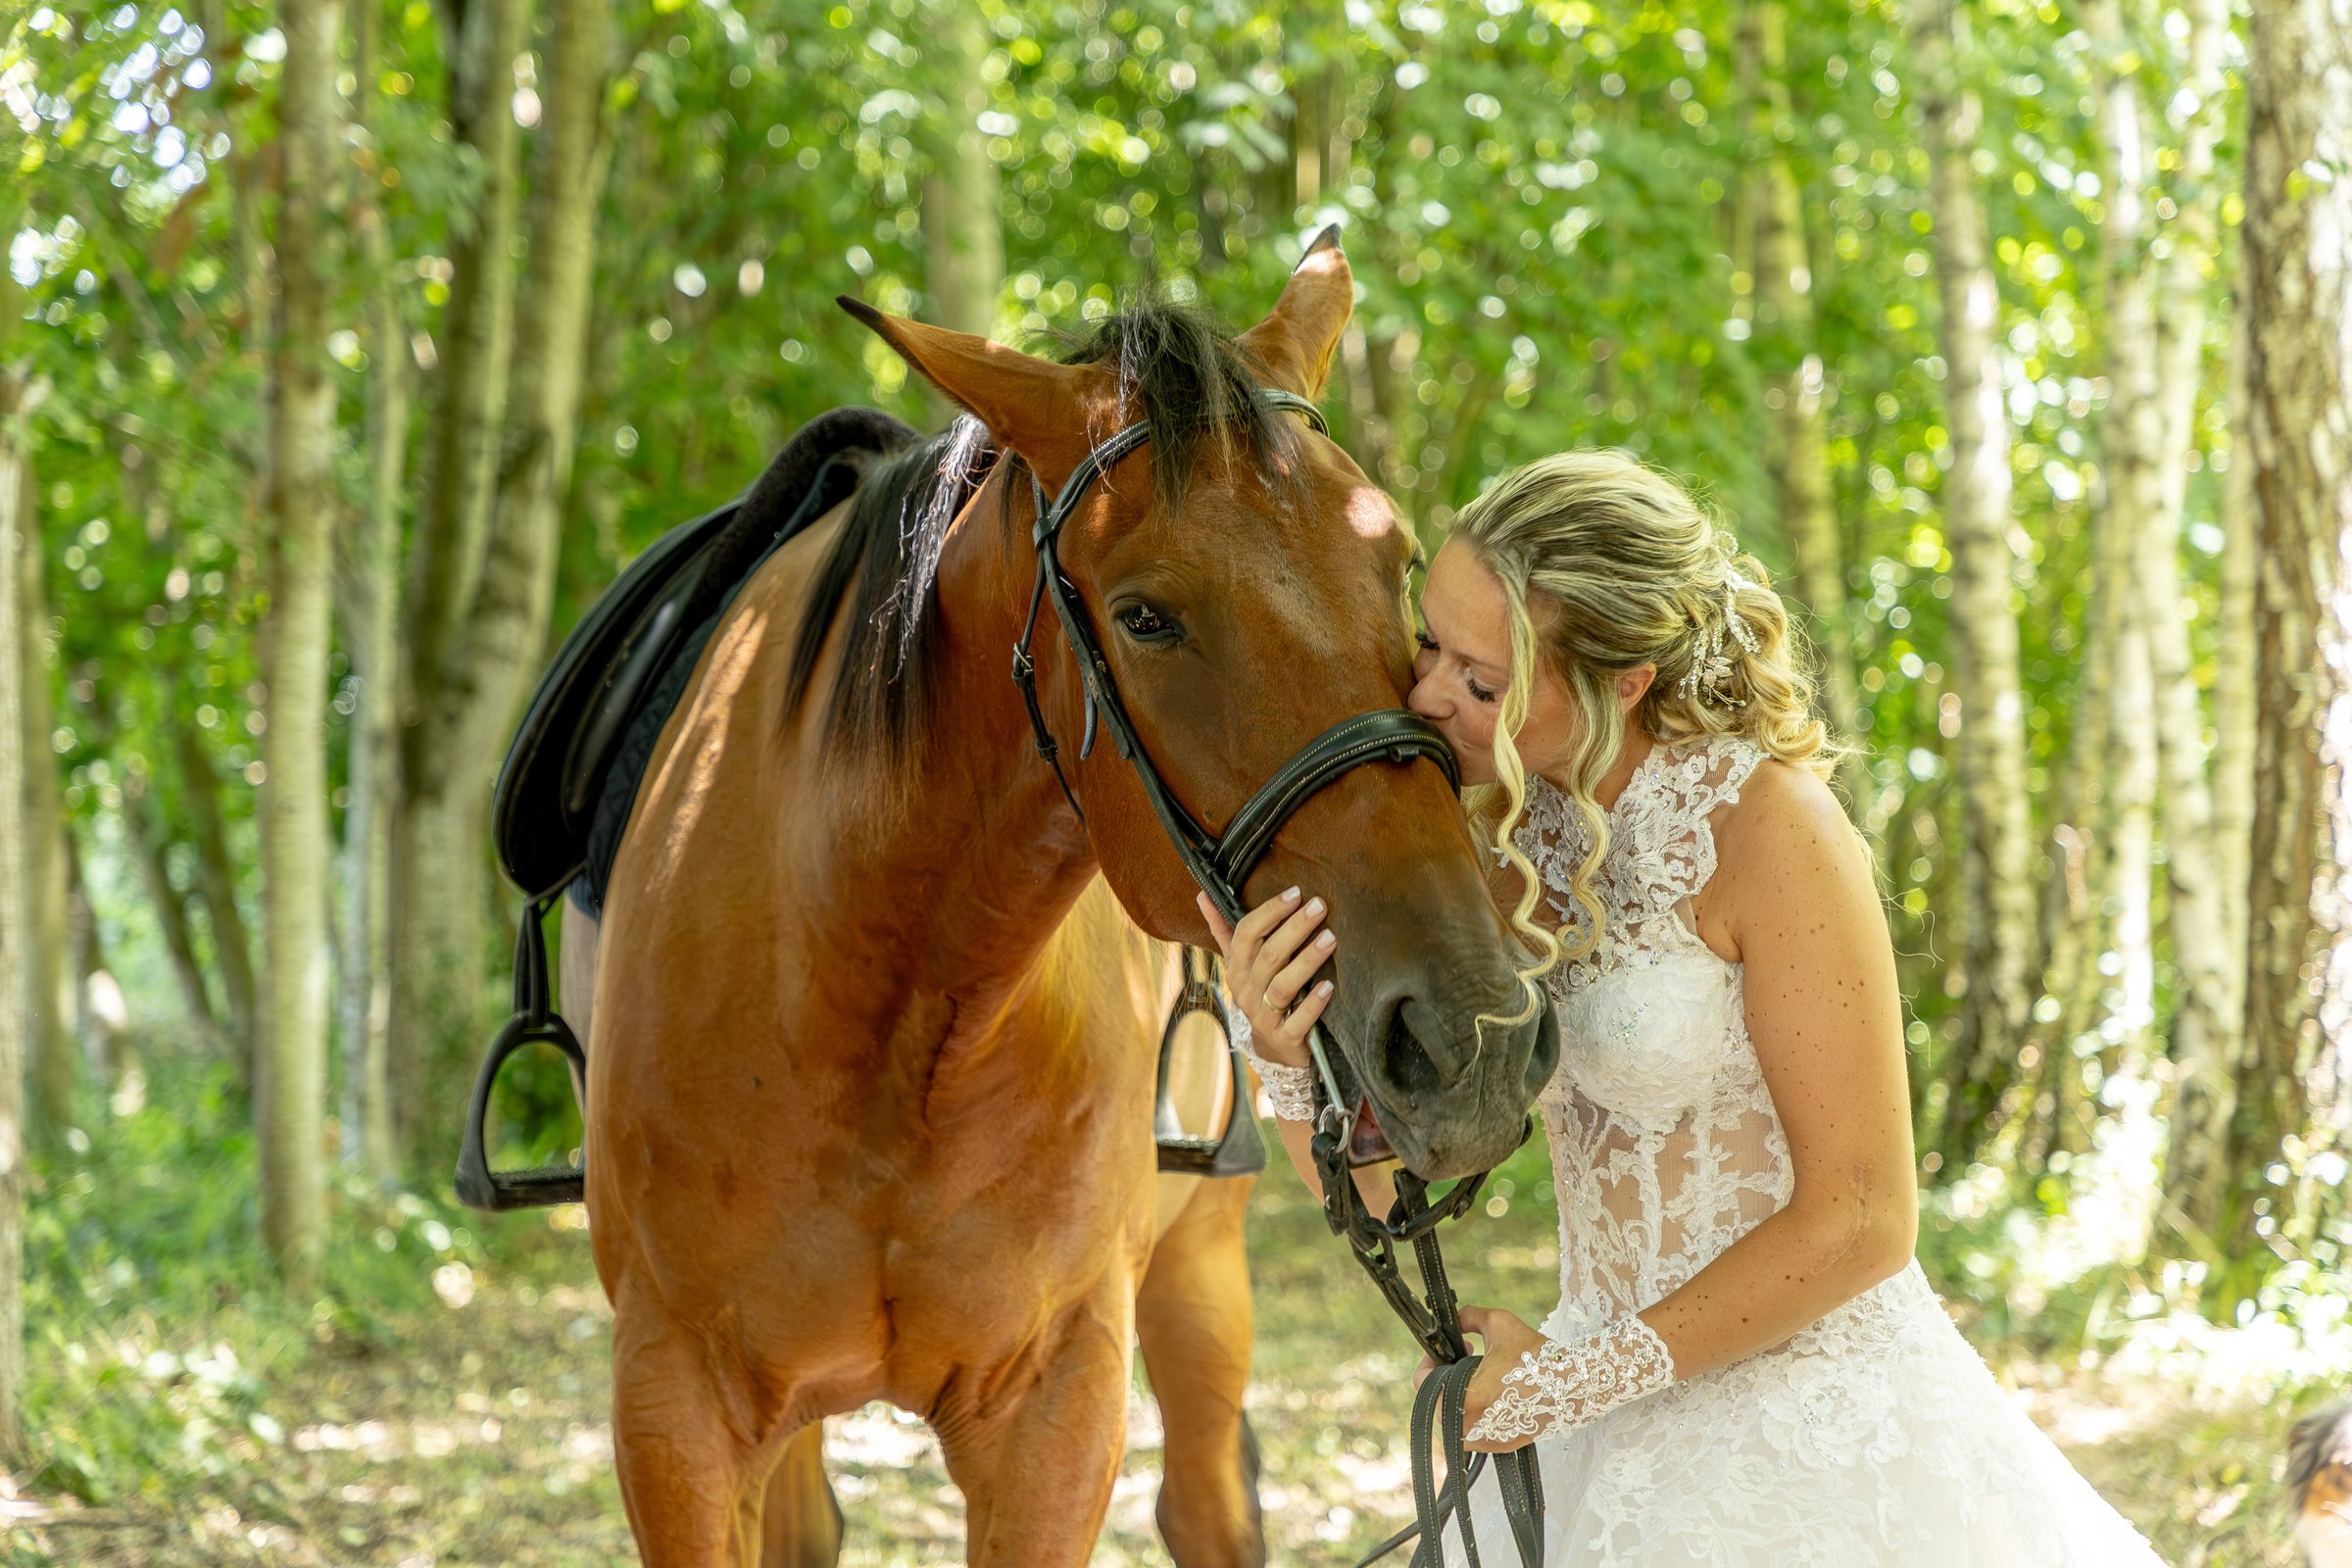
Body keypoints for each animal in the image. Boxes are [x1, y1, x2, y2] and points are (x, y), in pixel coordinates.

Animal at [562, 233, 1558, 1566]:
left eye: (1395, 562)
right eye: (1144, 615)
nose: (1473, 1040)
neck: (890, 1008)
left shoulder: (1058, 1402)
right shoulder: (676, 1406)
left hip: (1199, 1274)